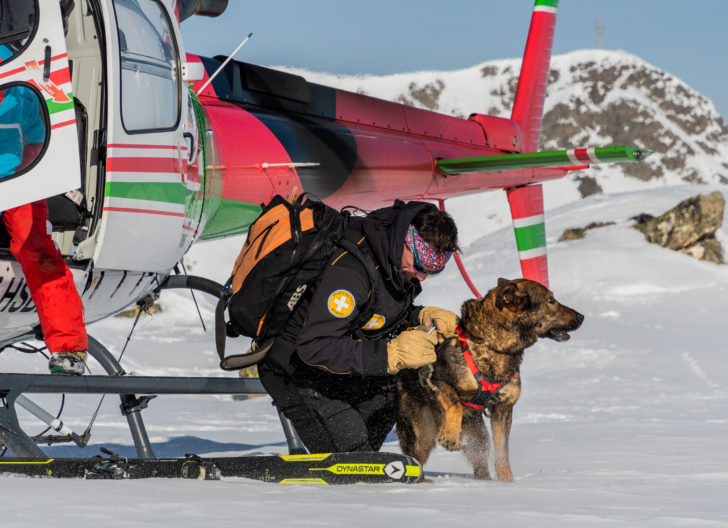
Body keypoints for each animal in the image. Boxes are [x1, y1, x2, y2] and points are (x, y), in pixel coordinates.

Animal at [396, 278, 584, 480]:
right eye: (551, 300)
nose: (581, 317)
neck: (495, 346)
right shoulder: (438, 381)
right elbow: (454, 402)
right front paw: (450, 437)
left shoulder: (502, 410)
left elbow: (502, 452)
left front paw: (507, 481)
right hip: (422, 431)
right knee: (416, 457)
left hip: (475, 432)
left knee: (480, 458)